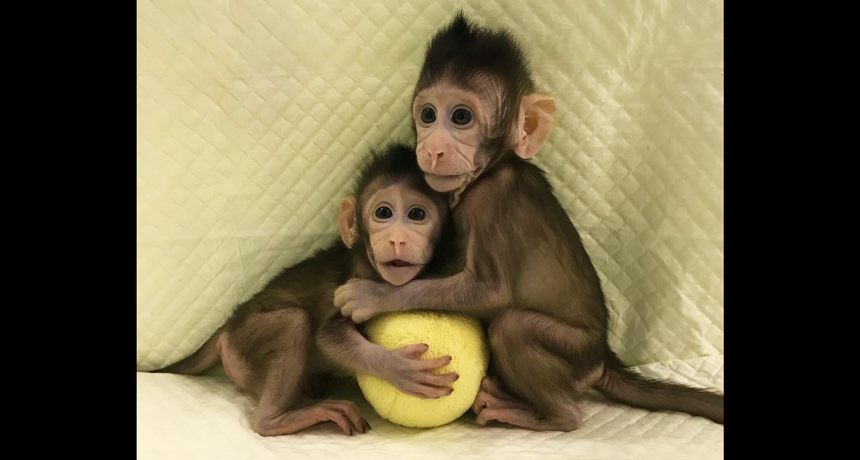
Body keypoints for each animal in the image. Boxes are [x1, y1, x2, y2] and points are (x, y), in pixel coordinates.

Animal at [154, 143, 460, 436]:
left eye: (417, 214)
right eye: (383, 213)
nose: (397, 240)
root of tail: (229, 325)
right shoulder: (354, 281)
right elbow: (329, 336)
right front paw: (398, 368)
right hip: (243, 341)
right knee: (294, 321)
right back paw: (276, 419)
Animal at [334, 13, 724, 431]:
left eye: (461, 117)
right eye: (427, 115)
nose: (433, 149)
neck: (495, 167)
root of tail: (602, 357)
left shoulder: (490, 200)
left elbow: (490, 292)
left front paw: (372, 295)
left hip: (573, 352)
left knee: (513, 328)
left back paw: (543, 414)